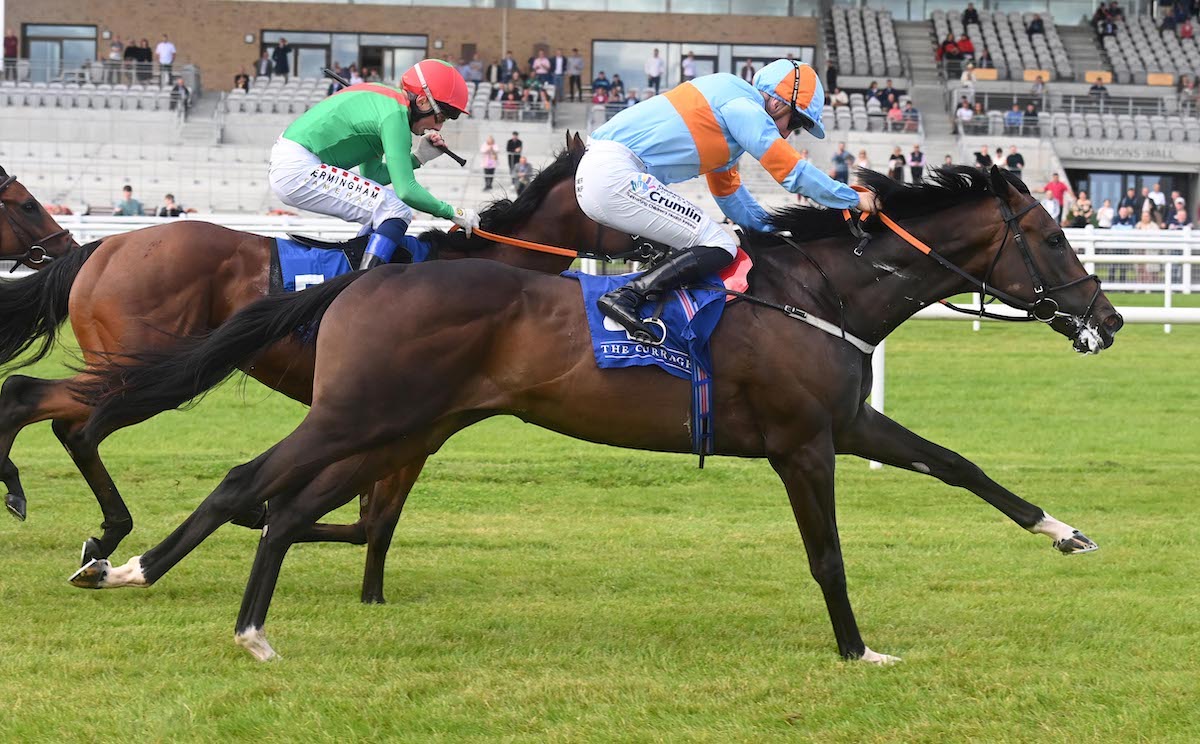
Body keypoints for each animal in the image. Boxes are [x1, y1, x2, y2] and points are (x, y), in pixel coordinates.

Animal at [0, 132, 633, 604]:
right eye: (634, 184)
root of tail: (101, 247)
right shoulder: (409, 417)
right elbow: (371, 519)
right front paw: (266, 520)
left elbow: (368, 520)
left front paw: (366, 591)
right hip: (148, 367)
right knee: (49, 408)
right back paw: (77, 517)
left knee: (49, 410)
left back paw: (60, 513)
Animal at [72, 165, 1123, 657]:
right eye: (1051, 236)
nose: (1108, 319)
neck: (819, 291)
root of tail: (367, 277)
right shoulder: (801, 444)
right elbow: (827, 556)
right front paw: (858, 649)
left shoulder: (850, 425)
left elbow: (960, 464)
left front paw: (1067, 532)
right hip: (362, 414)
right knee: (245, 481)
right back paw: (140, 572)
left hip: (396, 423)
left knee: (287, 505)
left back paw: (202, 597)